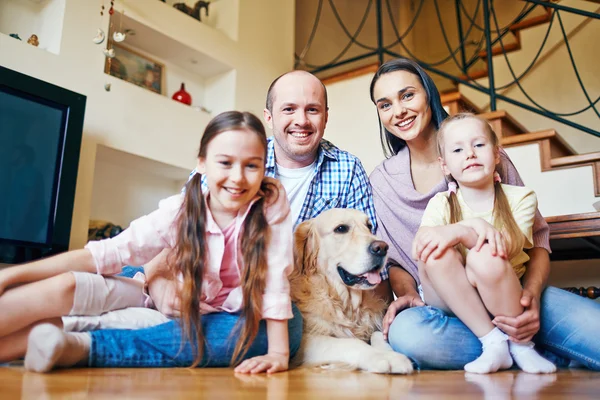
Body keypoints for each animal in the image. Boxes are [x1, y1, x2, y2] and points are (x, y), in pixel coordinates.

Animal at [290, 208, 412, 374]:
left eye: (369, 226)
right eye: (341, 228)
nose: (382, 248)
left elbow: (376, 333)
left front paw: (387, 351)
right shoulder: (304, 341)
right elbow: (351, 343)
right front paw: (386, 357)